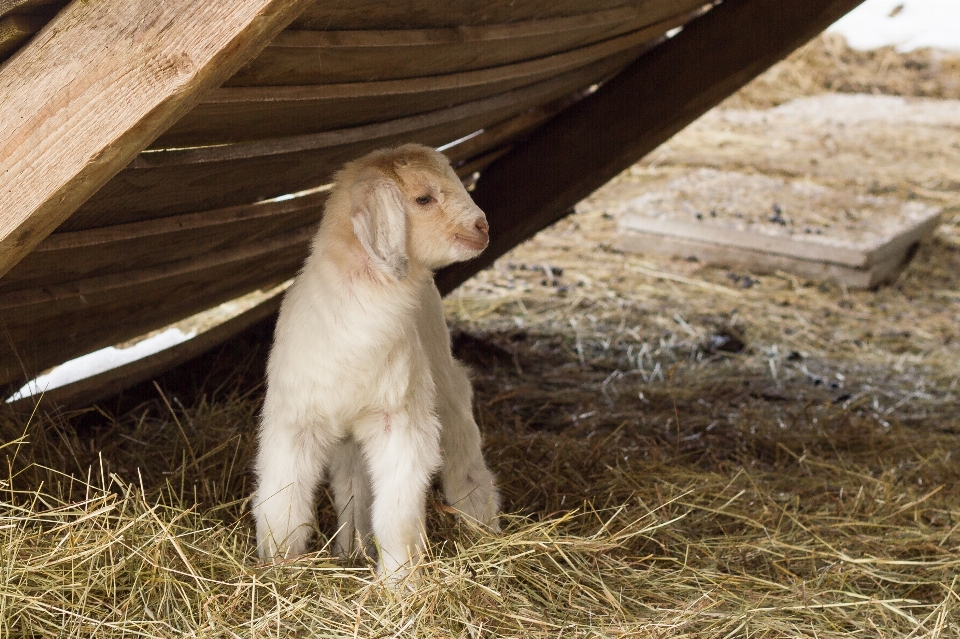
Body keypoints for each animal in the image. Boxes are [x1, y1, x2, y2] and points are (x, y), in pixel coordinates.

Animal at [251, 144, 498, 580]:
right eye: (423, 198)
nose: (482, 227)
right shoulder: (294, 424)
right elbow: (282, 504)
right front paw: (280, 568)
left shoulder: (399, 423)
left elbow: (397, 513)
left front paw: (399, 581)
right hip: (351, 434)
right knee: (353, 481)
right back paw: (353, 548)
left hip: (442, 379)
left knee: (462, 441)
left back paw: (480, 518)